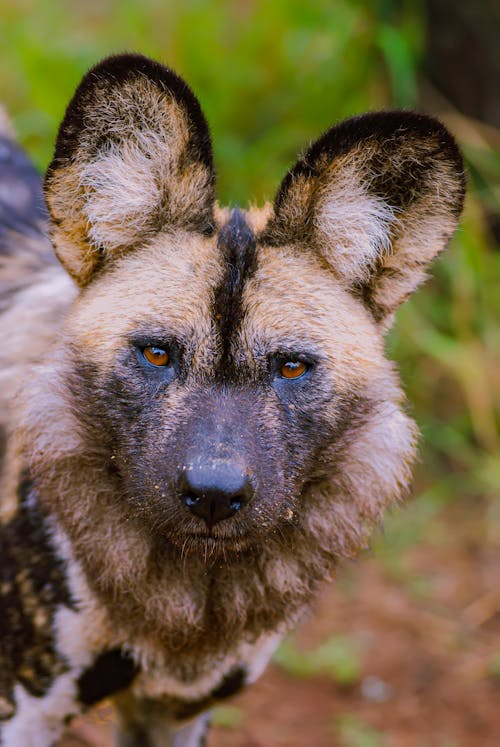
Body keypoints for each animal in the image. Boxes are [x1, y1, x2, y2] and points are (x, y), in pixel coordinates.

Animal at [0, 54, 464, 747]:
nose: (214, 494)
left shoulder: (175, 715)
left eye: (292, 367)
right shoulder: (23, 712)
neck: (187, 608)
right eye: (156, 354)